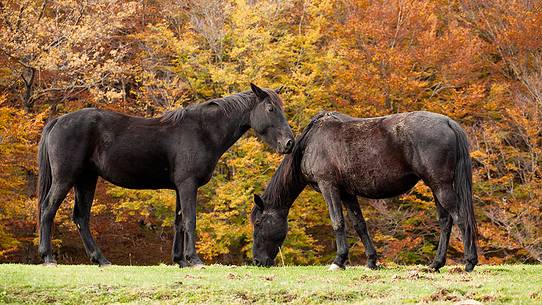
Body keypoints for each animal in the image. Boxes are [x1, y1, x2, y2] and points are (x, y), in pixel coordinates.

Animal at [37, 83, 298, 266]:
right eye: (270, 108)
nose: (289, 143)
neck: (202, 131)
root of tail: (59, 120)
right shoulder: (188, 185)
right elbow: (190, 220)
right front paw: (195, 260)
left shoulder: (180, 188)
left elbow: (179, 222)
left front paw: (180, 260)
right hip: (65, 179)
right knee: (48, 209)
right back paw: (48, 256)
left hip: (86, 180)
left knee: (81, 217)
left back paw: (100, 260)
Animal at [253, 111, 478, 270]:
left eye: (258, 223)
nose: (257, 261)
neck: (310, 143)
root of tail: (448, 122)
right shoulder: (347, 193)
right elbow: (359, 225)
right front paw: (371, 261)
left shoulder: (329, 187)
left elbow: (338, 222)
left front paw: (339, 261)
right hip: (436, 187)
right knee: (446, 222)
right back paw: (436, 264)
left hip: (441, 186)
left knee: (460, 218)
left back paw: (469, 262)